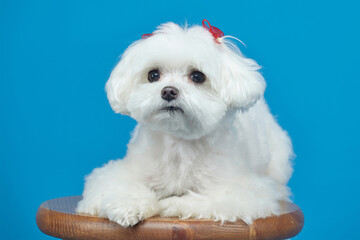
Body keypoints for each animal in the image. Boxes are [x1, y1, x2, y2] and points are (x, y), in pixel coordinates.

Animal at [76, 20, 292, 227]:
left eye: (197, 76)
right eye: (153, 75)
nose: (168, 91)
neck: (179, 143)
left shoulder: (246, 191)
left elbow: (212, 200)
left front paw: (173, 204)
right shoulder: (121, 172)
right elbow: (117, 185)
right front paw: (128, 205)